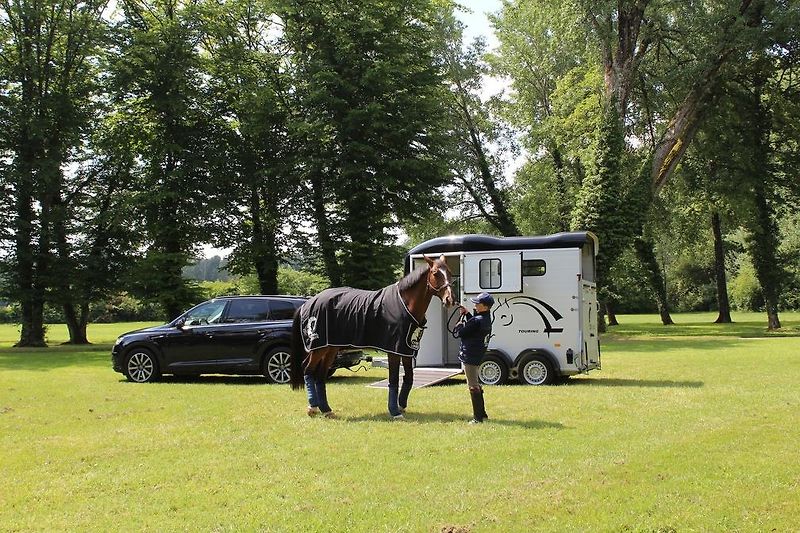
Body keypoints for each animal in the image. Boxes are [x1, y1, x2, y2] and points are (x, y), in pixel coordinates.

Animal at [290, 255, 455, 418]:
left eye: (449, 272)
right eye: (435, 273)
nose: (450, 300)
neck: (405, 304)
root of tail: (308, 302)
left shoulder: (406, 350)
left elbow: (409, 377)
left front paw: (401, 406)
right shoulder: (393, 350)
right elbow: (394, 379)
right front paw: (394, 411)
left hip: (331, 347)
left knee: (320, 374)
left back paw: (326, 410)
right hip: (319, 347)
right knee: (308, 369)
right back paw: (312, 408)